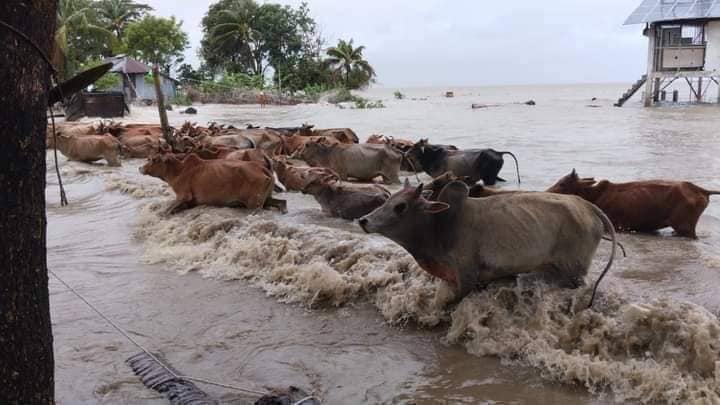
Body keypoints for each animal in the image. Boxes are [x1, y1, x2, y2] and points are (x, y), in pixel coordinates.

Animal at [544, 169, 720, 238]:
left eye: (562, 184)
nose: (545, 192)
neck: (593, 195)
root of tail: (701, 190)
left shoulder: (616, 226)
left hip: (685, 227)